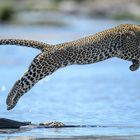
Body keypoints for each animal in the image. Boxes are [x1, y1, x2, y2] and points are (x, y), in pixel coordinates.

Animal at [0, 23, 140, 110]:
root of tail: (49, 46)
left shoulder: (120, 52)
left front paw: (133, 66)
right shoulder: (127, 49)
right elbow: (138, 55)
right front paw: (134, 66)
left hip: (37, 68)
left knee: (22, 85)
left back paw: (11, 105)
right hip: (41, 69)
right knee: (19, 82)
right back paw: (8, 101)